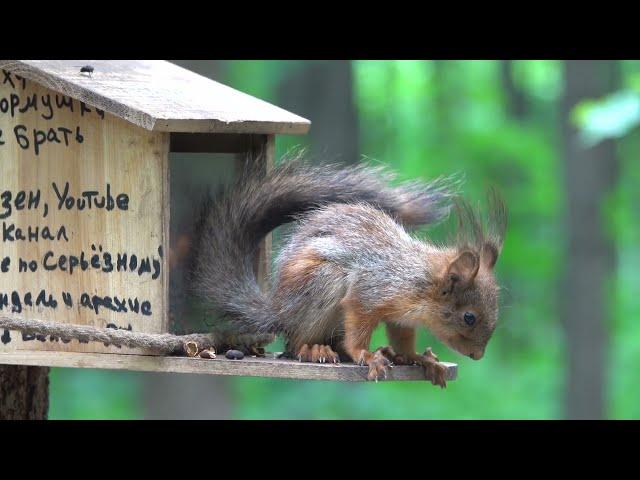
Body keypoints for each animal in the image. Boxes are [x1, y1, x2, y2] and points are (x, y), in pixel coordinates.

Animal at [188, 158, 508, 386]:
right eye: (469, 317)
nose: (478, 356)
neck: (418, 281)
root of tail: (279, 310)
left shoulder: (401, 317)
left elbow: (402, 338)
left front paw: (419, 359)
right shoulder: (369, 291)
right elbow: (357, 327)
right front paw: (366, 355)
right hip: (322, 283)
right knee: (296, 343)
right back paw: (313, 350)